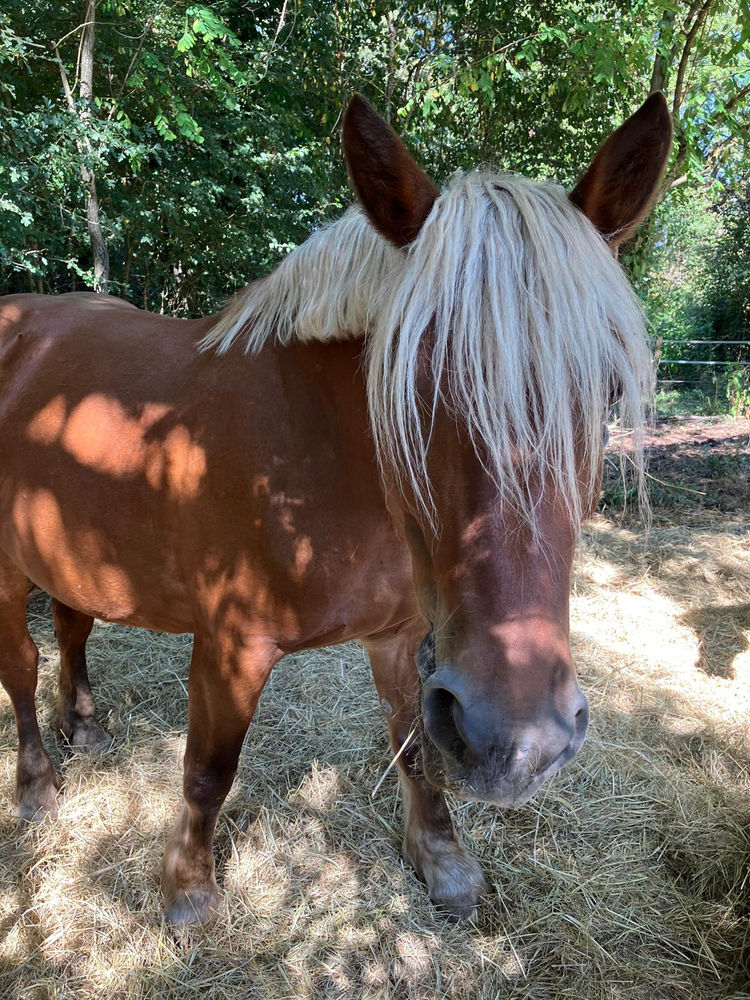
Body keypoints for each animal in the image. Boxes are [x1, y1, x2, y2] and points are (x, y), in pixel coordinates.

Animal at [0, 93, 671, 925]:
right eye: (405, 386)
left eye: (607, 390)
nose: (519, 745)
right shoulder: (231, 649)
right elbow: (206, 771)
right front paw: (188, 889)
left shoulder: (401, 639)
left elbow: (414, 747)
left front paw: (442, 862)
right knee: (21, 667)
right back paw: (37, 787)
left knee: (71, 626)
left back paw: (85, 730)